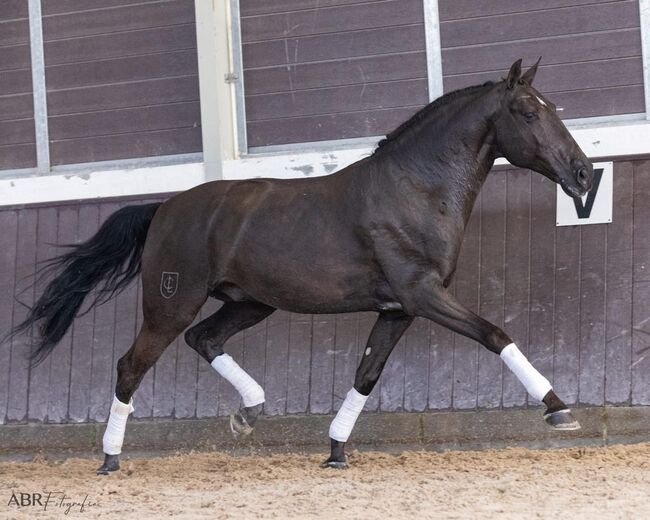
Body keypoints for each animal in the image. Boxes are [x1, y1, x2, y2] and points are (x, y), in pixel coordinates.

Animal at [11, 59, 592, 474]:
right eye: (529, 113)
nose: (583, 173)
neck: (415, 190)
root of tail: (166, 208)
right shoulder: (423, 295)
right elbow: (495, 333)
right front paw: (558, 409)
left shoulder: (398, 309)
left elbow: (366, 374)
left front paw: (336, 452)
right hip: (170, 305)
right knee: (131, 366)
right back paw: (110, 458)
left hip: (250, 303)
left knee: (204, 340)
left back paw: (248, 414)